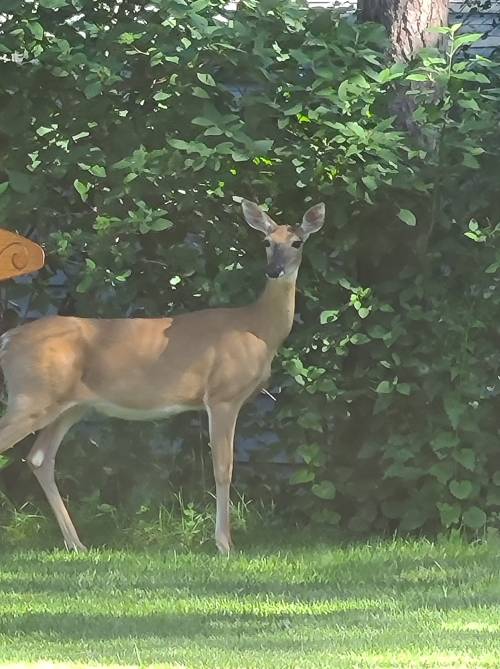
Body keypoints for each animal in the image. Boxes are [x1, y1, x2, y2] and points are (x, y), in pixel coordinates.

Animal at [0, 200, 325, 554]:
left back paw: (77, 544)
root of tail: (7, 340)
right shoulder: (222, 395)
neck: (258, 328)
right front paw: (224, 545)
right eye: (267, 242)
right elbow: (222, 468)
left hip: (70, 405)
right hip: (31, 395)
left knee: (40, 458)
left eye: (297, 242)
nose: (273, 270)